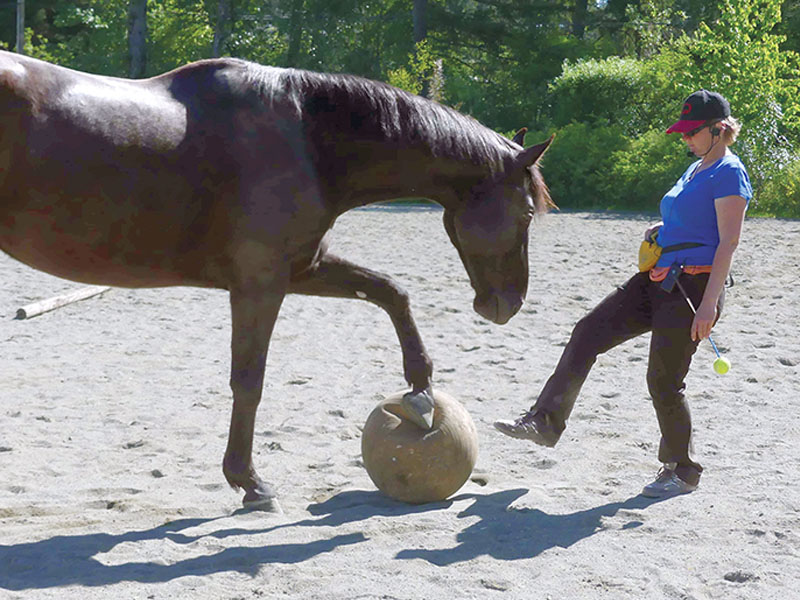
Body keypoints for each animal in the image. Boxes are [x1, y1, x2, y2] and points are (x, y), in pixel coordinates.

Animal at [0, 50, 553, 510]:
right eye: (527, 213)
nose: (508, 303)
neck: (305, 136)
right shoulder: (260, 284)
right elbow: (249, 381)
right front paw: (249, 481)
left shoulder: (302, 269)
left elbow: (390, 292)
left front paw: (419, 388)